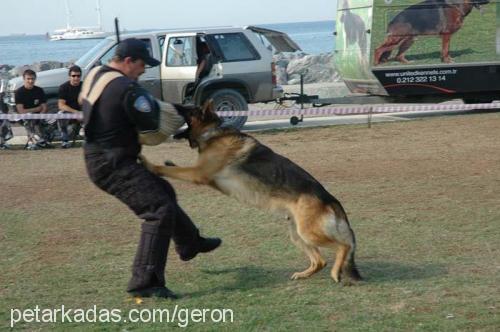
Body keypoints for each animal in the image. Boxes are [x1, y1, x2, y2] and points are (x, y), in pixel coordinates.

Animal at [142, 102, 364, 282]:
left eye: (189, 110)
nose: (174, 104)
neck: (213, 132)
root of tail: (330, 199)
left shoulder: (198, 173)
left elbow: (171, 170)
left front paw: (149, 164)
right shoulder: (198, 171)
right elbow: (174, 167)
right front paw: (164, 162)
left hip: (308, 233)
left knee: (343, 246)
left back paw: (335, 272)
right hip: (297, 234)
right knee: (320, 261)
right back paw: (304, 274)